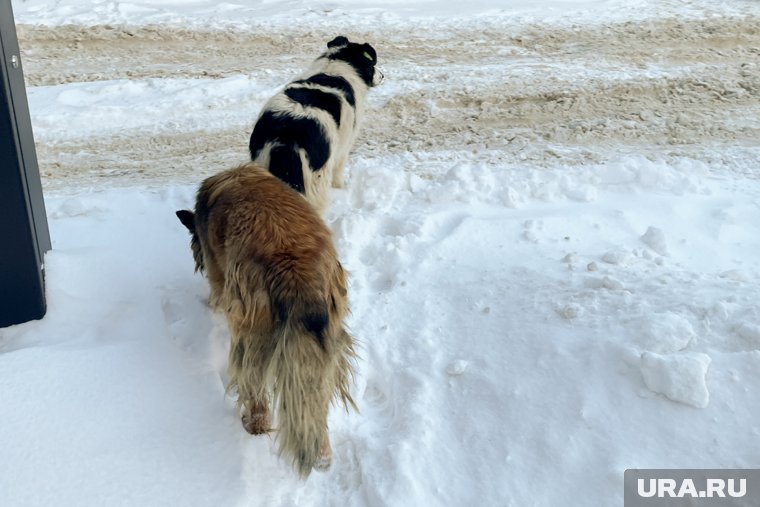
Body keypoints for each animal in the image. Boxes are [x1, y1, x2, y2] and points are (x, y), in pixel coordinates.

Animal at [175, 164, 356, 480]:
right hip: (326, 340)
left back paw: (254, 426)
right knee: (315, 399)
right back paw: (322, 453)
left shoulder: (219, 278)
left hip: (251, 336)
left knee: (255, 388)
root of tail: (293, 270)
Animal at [249, 35, 382, 214]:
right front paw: (341, 188)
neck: (335, 66)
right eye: (372, 64)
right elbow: (338, 173)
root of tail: (288, 137)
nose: (382, 76)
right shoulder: (344, 147)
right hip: (317, 182)